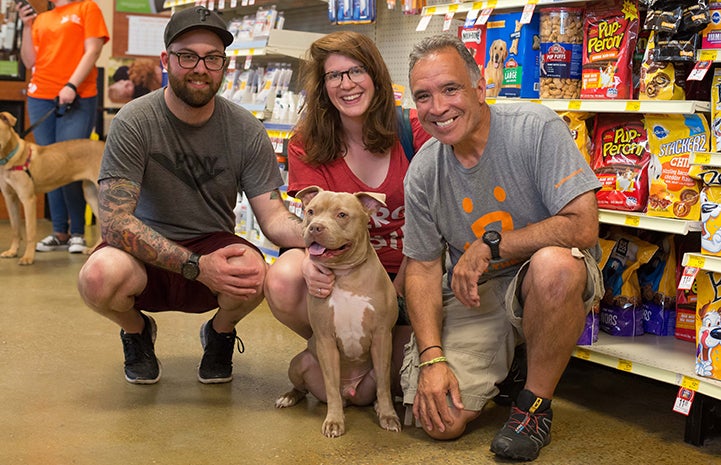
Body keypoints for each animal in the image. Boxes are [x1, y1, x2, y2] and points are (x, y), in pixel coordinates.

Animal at [0, 111, 104, 264]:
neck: (11, 157)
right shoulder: (10, 199)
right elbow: (15, 229)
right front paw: (12, 251)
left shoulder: (28, 199)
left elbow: (30, 231)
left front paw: (28, 257)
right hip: (90, 194)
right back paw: (94, 249)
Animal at [276, 186, 402, 438]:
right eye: (311, 211)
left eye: (342, 215)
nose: (315, 227)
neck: (345, 274)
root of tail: (350, 395)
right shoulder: (326, 340)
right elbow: (332, 386)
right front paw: (334, 421)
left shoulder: (382, 337)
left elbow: (383, 387)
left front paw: (388, 416)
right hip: (299, 363)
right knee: (304, 388)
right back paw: (289, 396)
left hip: (391, 366)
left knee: (380, 386)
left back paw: (376, 405)